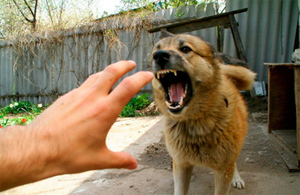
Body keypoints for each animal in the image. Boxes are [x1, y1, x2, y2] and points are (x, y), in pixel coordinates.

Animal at [150, 34, 255, 195]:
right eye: (157, 50)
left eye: (185, 49)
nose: (159, 56)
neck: (195, 122)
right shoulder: (181, 165)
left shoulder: (223, 170)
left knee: (235, 162)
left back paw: (236, 178)